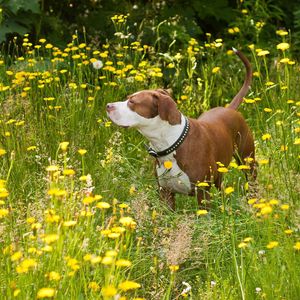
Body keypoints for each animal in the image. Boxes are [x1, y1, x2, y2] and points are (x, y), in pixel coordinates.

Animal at [106, 48, 254, 209]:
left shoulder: (202, 192)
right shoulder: (165, 193)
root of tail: (230, 109)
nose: (108, 105)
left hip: (247, 160)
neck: (169, 143)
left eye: (132, 102)